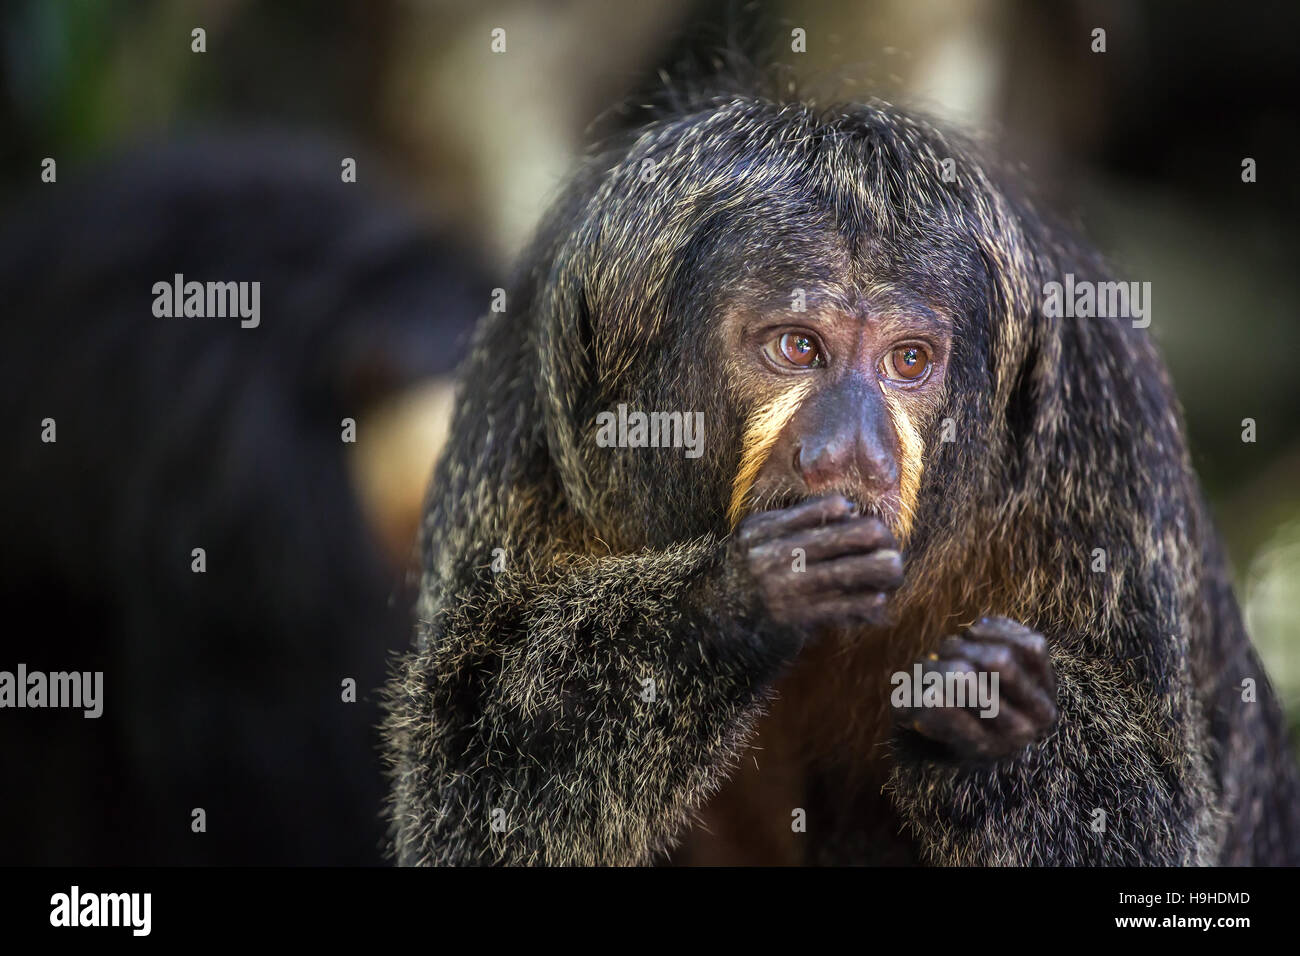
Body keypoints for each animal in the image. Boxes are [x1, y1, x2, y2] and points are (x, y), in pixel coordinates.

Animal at [382, 84, 1300, 867]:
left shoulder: (1102, 416)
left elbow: (1153, 818)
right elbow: (471, 786)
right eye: (798, 347)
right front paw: (743, 596)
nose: (851, 452)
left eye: (909, 361)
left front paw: (987, 720)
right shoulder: (527, 397)